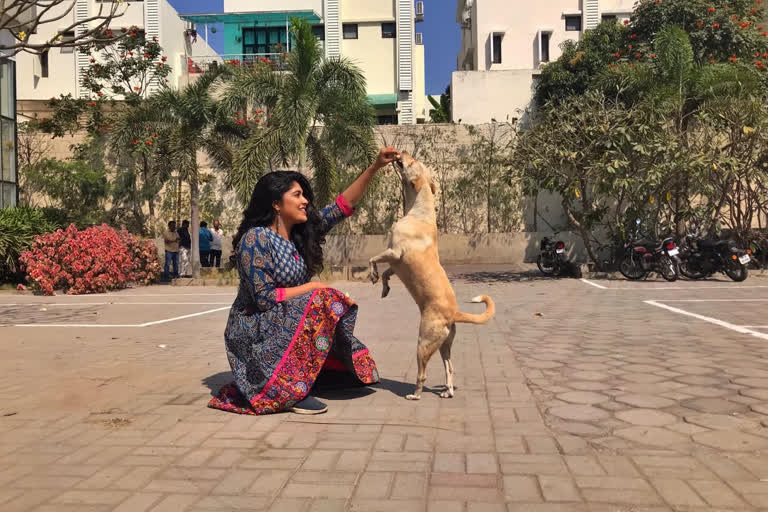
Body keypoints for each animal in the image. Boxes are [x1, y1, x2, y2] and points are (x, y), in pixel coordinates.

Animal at [368, 151, 498, 400]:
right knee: (450, 367)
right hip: (444, 345)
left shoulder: (394, 252)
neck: (419, 212)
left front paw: (372, 275)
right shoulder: (396, 263)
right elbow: (387, 273)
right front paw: (384, 287)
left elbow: (373, 259)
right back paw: (448, 391)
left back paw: (415, 394)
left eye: (411, 161)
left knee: (422, 374)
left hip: (424, 342)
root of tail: (454, 313)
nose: (401, 152)